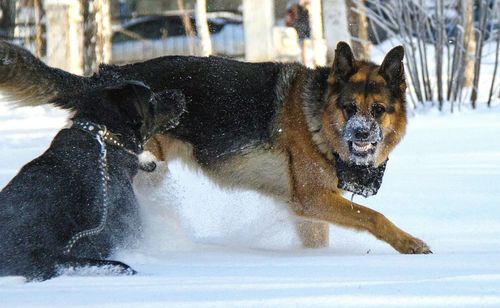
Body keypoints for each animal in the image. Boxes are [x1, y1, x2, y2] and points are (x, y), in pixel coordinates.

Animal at [0, 39, 430, 254]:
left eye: (378, 110)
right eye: (348, 108)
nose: (361, 136)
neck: (318, 119)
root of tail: (104, 78)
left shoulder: (309, 210)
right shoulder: (311, 199)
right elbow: (374, 217)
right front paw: (409, 243)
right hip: (144, 173)